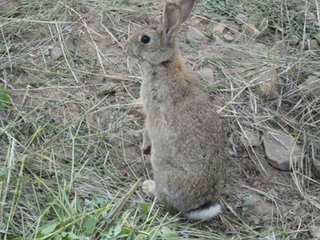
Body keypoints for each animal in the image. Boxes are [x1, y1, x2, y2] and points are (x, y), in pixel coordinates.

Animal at [124, 0, 226, 220]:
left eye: (145, 39)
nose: (125, 46)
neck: (164, 64)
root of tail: (196, 206)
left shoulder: (152, 111)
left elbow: (147, 129)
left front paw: (143, 147)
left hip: (161, 165)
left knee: (165, 201)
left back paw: (148, 187)